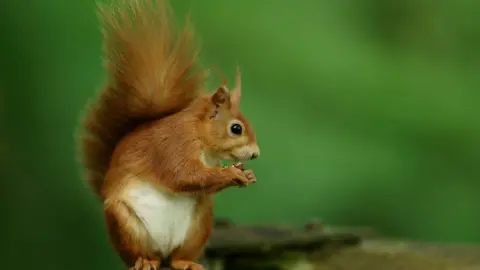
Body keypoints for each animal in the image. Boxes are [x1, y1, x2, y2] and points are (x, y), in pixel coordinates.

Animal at [77, 0, 260, 270]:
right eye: (236, 128)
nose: (256, 154)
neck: (201, 139)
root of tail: (162, 252)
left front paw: (246, 174)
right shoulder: (173, 146)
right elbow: (183, 175)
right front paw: (231, 173)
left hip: (199, 224)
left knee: (176, 257)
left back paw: (185, 262)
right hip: (124, 224)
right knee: (140, 254)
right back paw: (144, 260)